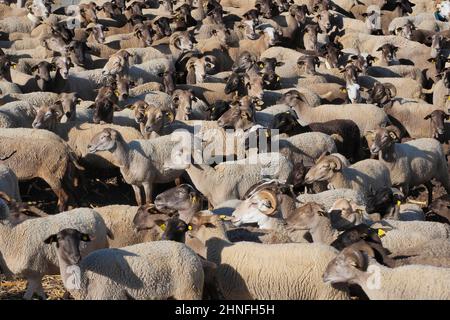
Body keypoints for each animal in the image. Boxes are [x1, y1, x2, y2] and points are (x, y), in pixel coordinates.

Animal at [44, 230, 203, 300]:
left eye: (79, 238)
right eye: (58, 239)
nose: (76, 257)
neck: (86, 276)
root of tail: (191, 252)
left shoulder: (112, 296)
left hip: (189, 290)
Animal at [186, 212, 352, 300]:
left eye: (194, 221)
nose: (186, 231)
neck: (222, 249)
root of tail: (337, 254)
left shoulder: (237, 293)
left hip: (331, 293)